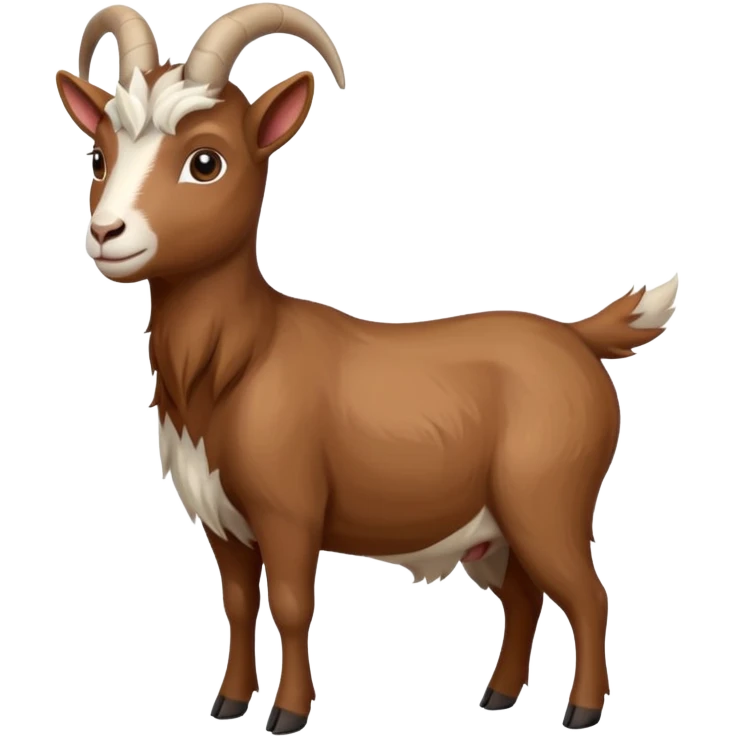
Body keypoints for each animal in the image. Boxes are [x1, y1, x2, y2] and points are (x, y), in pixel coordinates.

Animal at [56, 3, 679, 733]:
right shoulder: (221, 522)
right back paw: (497, 696)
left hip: (549, 499)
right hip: (494, 528)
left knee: (587, 593)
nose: (106, 233)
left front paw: (288, 713)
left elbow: (291, 604)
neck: (239, 362)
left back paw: (579, 711)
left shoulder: (289, 511)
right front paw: (229, 702)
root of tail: (576, 338)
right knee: (524, 595)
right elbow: (237, 605)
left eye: (205, 161)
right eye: (100, 157)